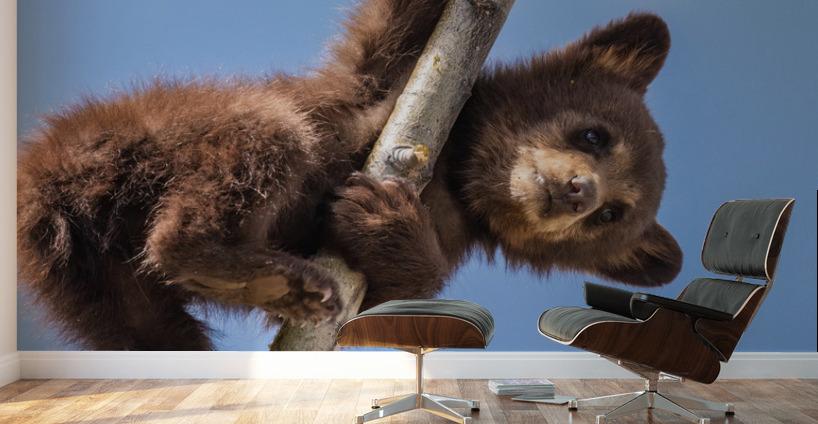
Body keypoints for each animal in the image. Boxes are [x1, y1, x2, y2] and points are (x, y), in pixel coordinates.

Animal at [17, 0, 682, 350]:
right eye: (595, 135)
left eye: (613, 215)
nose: (579, 192)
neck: (460, 177)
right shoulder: (385, 80)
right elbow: (403, 24)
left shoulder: (454, 230)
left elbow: (385, 308)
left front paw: (386, 225)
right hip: (143, 135)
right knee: (269, 131)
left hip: (105, 294)